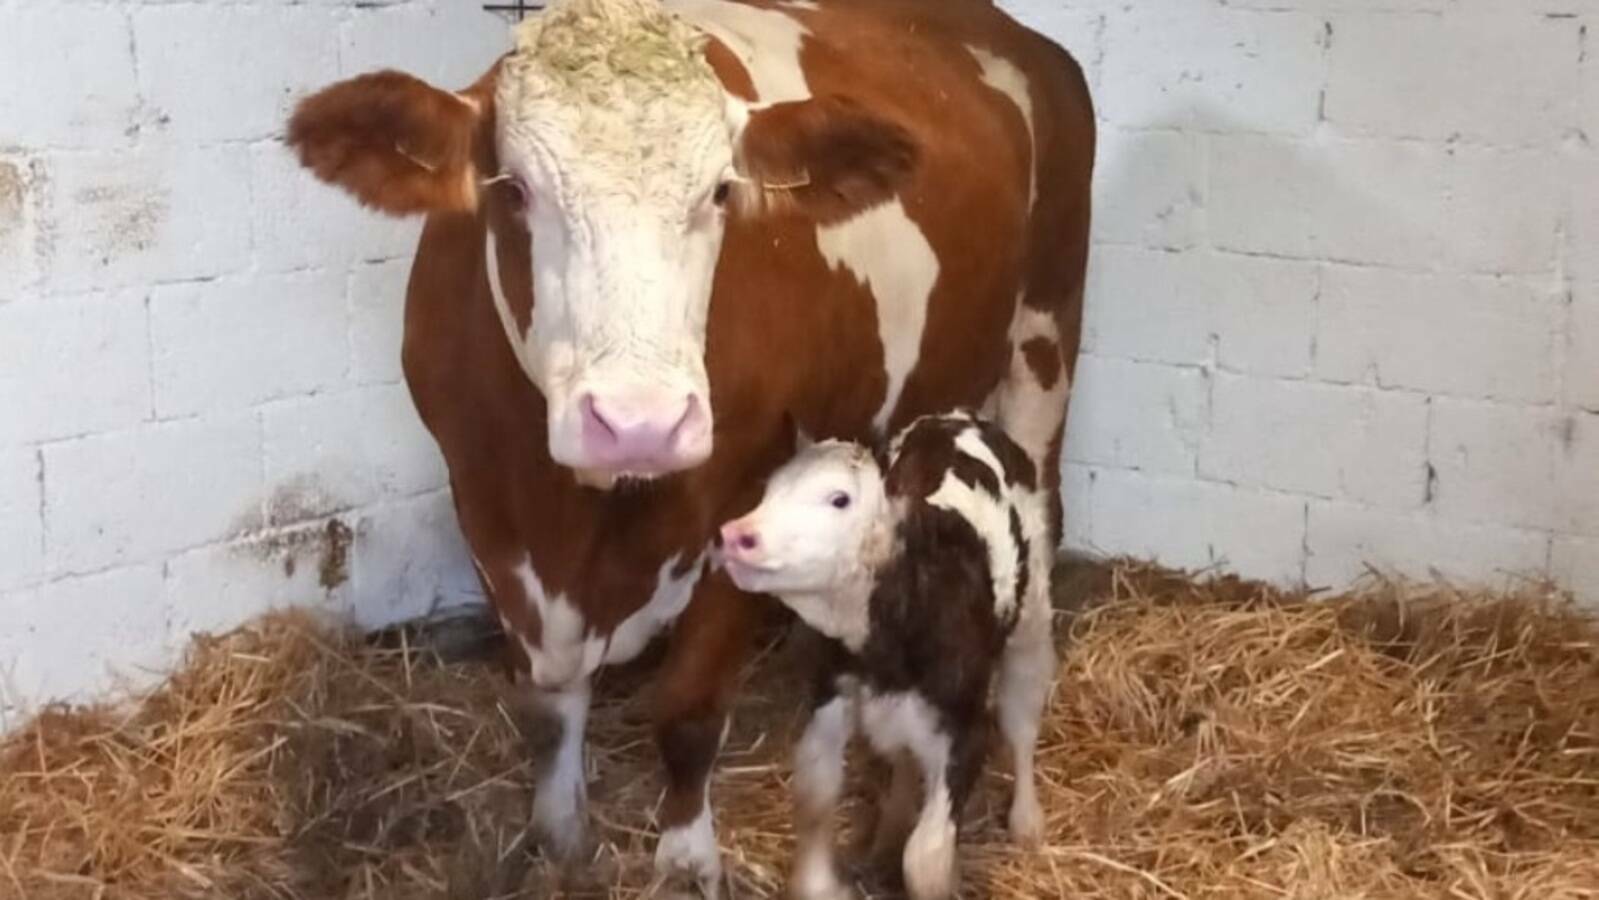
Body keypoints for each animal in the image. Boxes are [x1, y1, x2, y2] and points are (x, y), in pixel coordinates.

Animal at [717, 410, 1056, 900]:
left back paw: (1027, 821)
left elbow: (926, 858)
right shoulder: (833, 693)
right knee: (902, 757)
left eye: (839, 499)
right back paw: (889, 832)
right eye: (768, 491)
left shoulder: (964, 728)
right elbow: (815, 791)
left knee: (1022, 718)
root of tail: (960, 418)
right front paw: (825, 883)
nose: (736, 534)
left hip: (1032, 617)